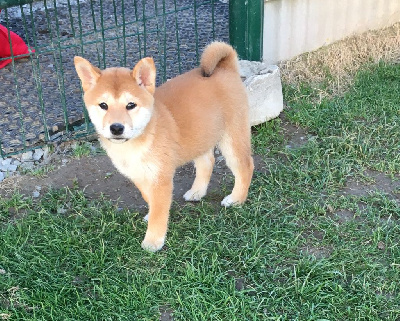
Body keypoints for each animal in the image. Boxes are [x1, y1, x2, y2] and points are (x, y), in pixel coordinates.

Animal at [74, 42, 253, 250]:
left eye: (130, 105)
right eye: (103, 105)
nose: (116, 128)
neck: (136, 143)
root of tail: (226, 68)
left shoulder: (160, 178)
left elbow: (159, 210)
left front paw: (153, 240)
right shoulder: (139, 175)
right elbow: (149, 199)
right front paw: (150, 215)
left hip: (231, 137)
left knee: (245, 166)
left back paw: (236, 199)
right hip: (200, 134)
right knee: (207, 161)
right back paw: (197, 192)